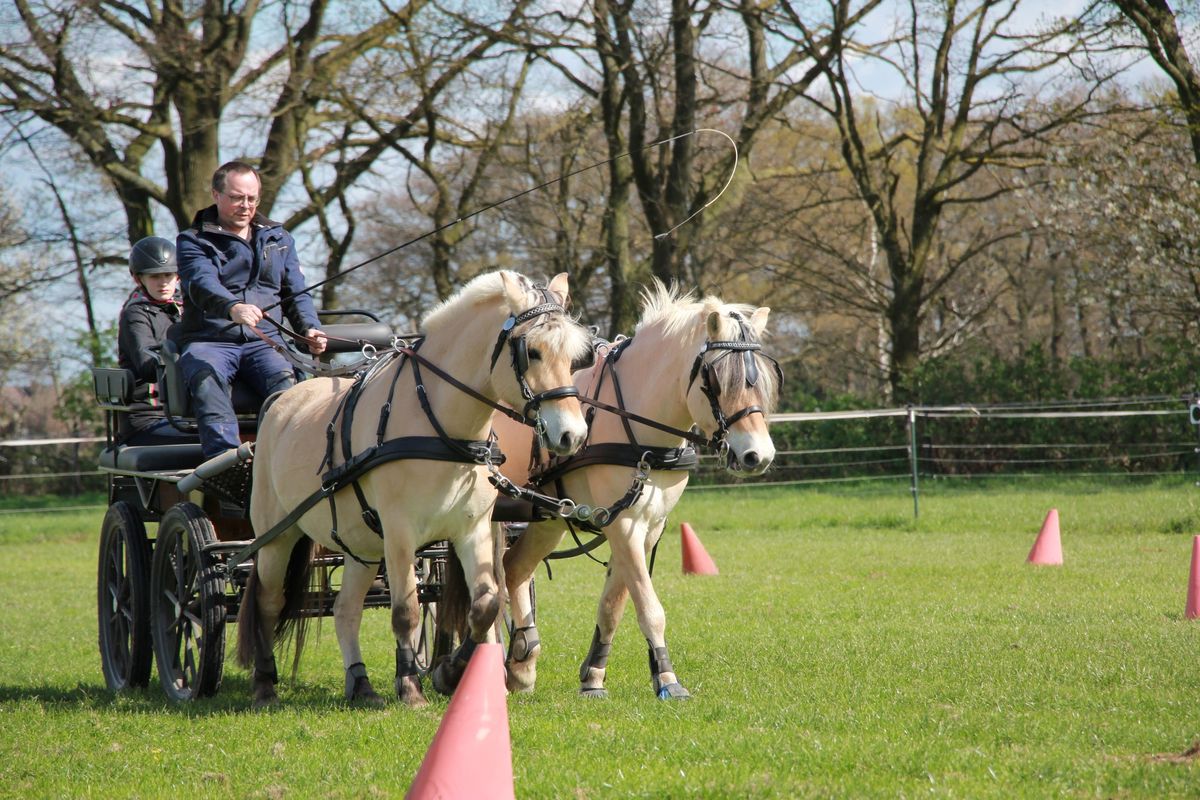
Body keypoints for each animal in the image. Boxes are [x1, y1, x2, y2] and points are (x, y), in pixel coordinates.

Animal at [234, 271, 590, 705]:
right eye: (532, 352)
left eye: (574, 357)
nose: (573, 435)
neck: (439, 424)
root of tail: (281, 401)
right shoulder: (400, 533)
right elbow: (407, 610)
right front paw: (410, 686)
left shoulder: (471, 528)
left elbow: (485, 604)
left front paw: (451, 671)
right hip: (277, 536)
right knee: (268, 602)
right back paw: (264, 684)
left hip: (362, 545)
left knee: (346, 608)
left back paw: (361, 684)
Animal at [492, 283, 782, 700]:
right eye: (716, 380)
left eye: (764, 381)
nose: (758, 456)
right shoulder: (624, 524)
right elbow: (649, 607)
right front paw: (668, 679)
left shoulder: (647, 526)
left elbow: (613, 604)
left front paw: (593, 678)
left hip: (549, 519)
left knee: (513, 569)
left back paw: (521, 663)